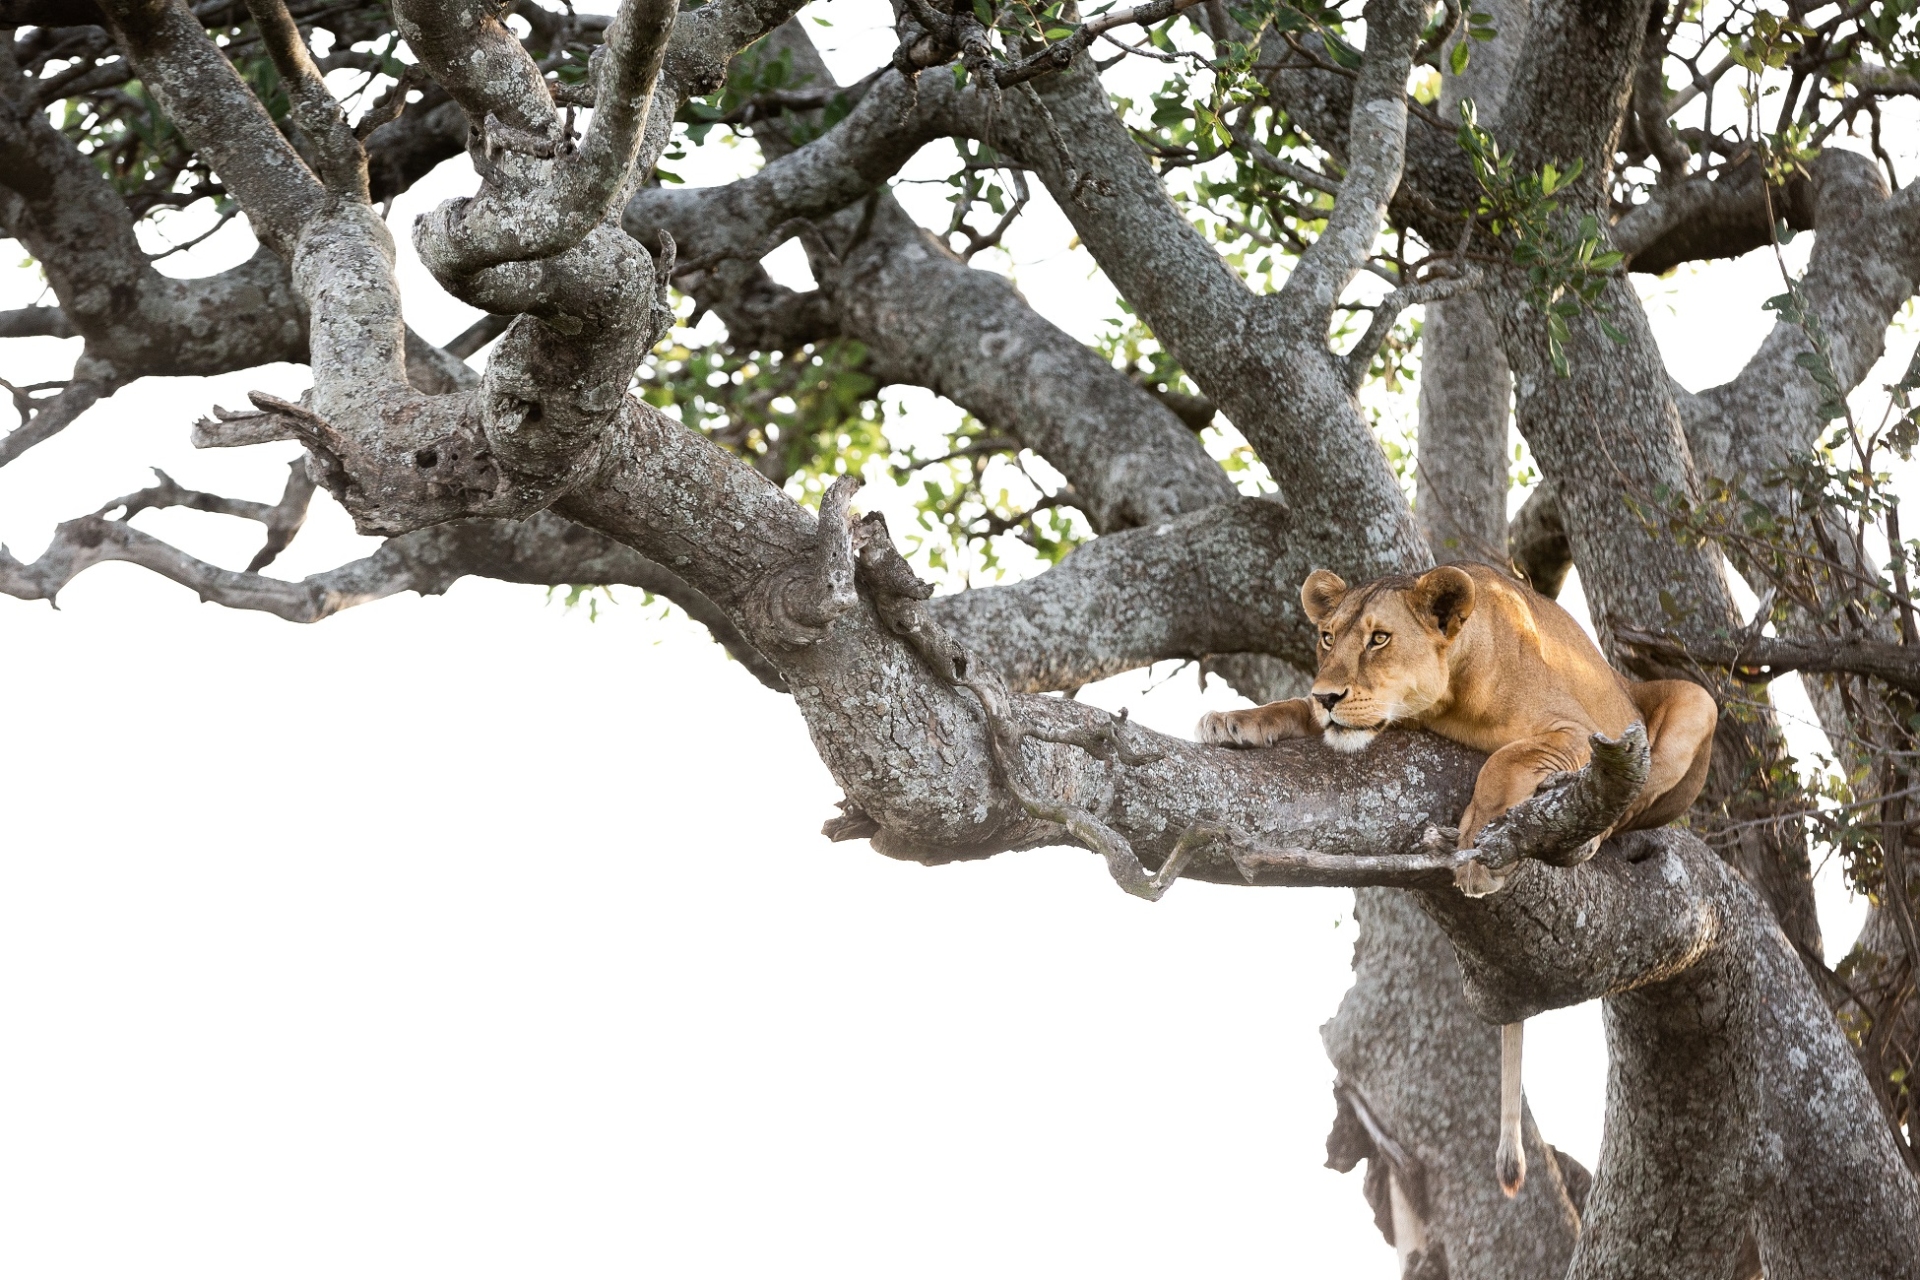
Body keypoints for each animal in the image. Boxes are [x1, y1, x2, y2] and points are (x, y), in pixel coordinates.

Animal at [1196, 562, 1718, 1197]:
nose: (1330, 695)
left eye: (1379, 638)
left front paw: (1475, 854)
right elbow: (1295, 706)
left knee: (1630, 806)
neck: (1450, 702)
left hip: (1691, 702)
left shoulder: (1577, 729)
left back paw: (1585, 836)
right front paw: (1239, 720)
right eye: (1327, 637)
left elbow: (1502, 761)